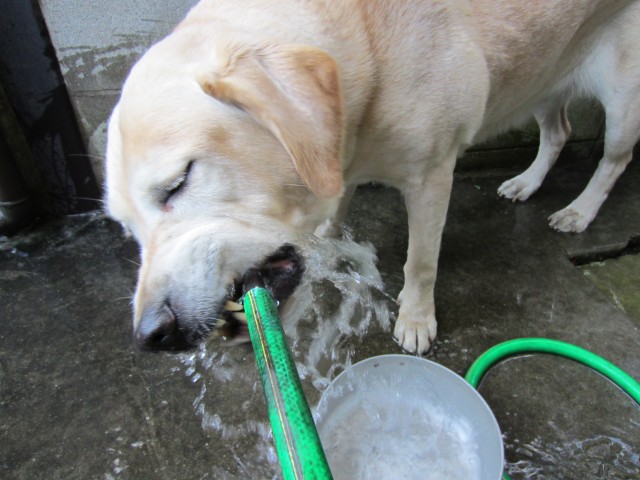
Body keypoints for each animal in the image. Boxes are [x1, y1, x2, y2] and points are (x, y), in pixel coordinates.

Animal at [106, 0, 640, 352]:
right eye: (128, 229)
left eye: (179, 182)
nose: (151, 335)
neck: (366, 42)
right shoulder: (342, 160)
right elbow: (336, 204)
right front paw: (327, 236)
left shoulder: (431, 175)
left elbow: (420, 262)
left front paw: (416, 319)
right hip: (545, 76)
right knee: (558, 131)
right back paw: (527, 182)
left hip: (621, 99)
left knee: (614, 158)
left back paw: (579, 210)